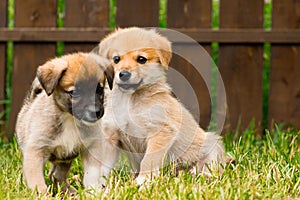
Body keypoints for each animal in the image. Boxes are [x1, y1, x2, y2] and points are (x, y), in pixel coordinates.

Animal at [15, 52, 117, 193]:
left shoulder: (92, 148)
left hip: (64, 160)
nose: (96, 112)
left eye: (99, 90)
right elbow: (38, 183)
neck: (71, 119)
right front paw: (43, 195)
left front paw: (93, 192)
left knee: (55, 176)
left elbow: (91, 176)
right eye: (73, 92)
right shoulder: (35, 151)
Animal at [97, 27, 226, 184]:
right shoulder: (111, 135)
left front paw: (143, 180)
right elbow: (102, 165)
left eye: (141, 59)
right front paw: (97, 184)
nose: (124, 74)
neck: (130, 101)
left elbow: (149, 160)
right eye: (116, 59)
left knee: (211, 167)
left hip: (212, 144)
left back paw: (199, 174)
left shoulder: (161, 131)